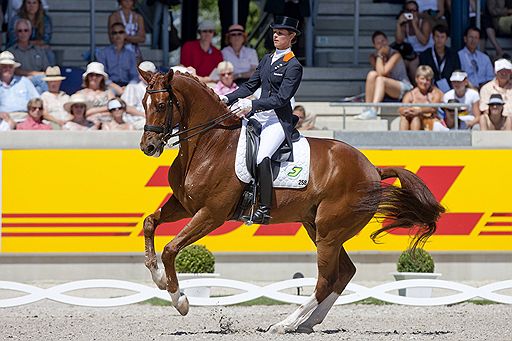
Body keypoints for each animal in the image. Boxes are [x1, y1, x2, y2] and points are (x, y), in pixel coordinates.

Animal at [137, 68, 444, 332]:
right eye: (143, 102)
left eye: (162, 105)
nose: (148, 147)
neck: (210, 144)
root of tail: (372, 169)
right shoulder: (185, 205)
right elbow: (150, 223)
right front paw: (158, 276)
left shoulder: (211, 213)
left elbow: (171, 249)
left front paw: (180, 300)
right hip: (318, 227)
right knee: (345, 273)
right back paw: (307, 323)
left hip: (329, 232)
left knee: (326, 280)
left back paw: (285, 324)